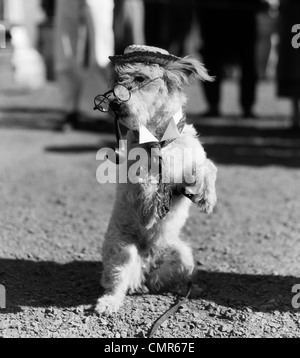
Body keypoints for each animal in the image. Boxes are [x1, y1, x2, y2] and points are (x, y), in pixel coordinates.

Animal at [95, 44, 217, 314]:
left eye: (140, 78)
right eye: (117, 80)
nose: (115, 103)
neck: (160, 138)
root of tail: (147, 263)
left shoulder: (191, 161)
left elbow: (207, 167)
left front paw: (207, 198)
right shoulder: (136, 188)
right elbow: (146, 186)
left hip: (182, 255)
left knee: (165, 278)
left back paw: (186, 288)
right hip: (122, 250)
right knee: (117, 281)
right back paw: (109, 302)